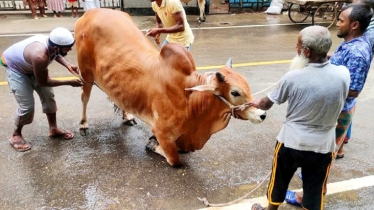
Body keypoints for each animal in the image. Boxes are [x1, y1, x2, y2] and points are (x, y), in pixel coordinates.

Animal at [74, 8, 264, 167]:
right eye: (235, 92)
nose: (262, 114)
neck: (190, 99)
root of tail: (89, 12)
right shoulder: (163, 133)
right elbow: (175, 160)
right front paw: (151, 144)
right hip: (86, 73)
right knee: (84, 97)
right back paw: (83, 124)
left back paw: (127, 116)